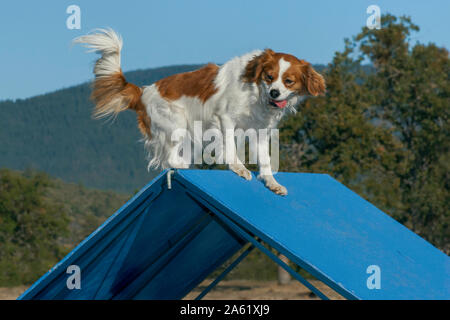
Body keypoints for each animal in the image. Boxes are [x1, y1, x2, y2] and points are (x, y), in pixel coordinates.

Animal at [75, 29, 326, 195]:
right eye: (269, 76)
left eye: (289, 81)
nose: (275, 92)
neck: (256, 95)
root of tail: (143, 91)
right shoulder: (225, 118)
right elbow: (231, 147)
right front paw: (239, 168)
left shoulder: (260, 132)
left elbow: (264, 160)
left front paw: (271, 183)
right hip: (176, 125)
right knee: (168, 159)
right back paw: (180, 167)